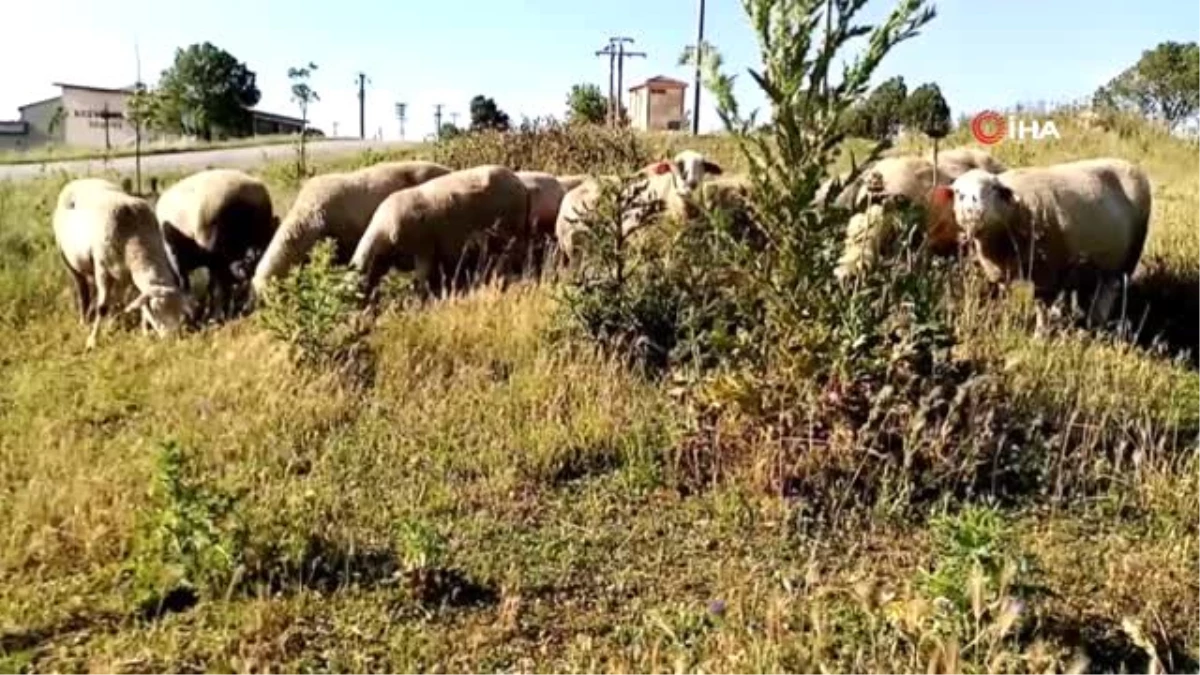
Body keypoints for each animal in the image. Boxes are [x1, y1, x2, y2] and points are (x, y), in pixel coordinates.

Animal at [52, 176, 193, 348]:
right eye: (156, 309)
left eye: (179, 310)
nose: (172, 338)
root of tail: (80, 181)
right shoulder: (102, 269)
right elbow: (102, 307)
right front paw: (92, 341)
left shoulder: (128, 275)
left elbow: (135, 303)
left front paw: (143, 333)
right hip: (69, 261)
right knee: (82, 291)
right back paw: (84, 321)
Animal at [350, 163, 532, 294]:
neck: (385, 235)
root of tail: (520, 184)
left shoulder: (424, 251)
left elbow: (422, 282)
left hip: (512, 232)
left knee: (516, 257)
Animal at [945, 154, 1152, 329]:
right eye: (958, 193)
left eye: (993, 189)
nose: (973, 211)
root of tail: (1130, 164)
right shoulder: (1002, 272)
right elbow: (1006, 296)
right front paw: (1008, 322)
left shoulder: (1046, 270)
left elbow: (1041, 305)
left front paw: (1040, 334)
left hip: (1128, 256)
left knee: (1111, 289)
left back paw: (1096, 322)